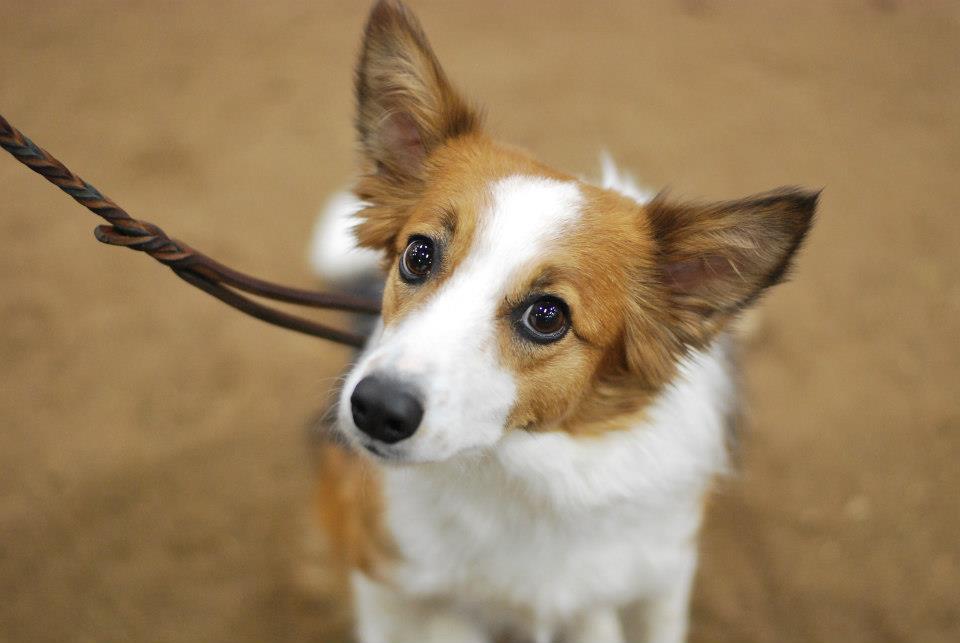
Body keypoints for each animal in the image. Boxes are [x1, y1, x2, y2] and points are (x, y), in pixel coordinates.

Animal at [310, 2, 816, 640]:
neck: (524, 472)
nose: (376, 409)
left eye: (547, 316)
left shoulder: (663, 569)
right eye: (418, 255)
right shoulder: (385, 571)